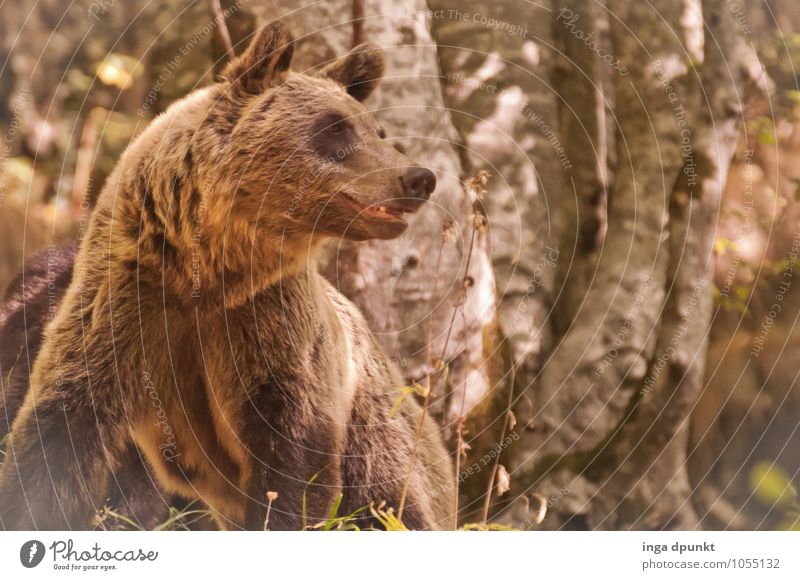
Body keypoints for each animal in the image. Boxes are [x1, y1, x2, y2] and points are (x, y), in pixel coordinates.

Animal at [0, 22, 456, 532]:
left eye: (377, 131)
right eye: (334, 127)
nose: (417, 178)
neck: (206, 270)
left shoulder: (272, 327)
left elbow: (295, 461)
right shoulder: (122, 304)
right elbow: (59, 429)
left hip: (387, 448)